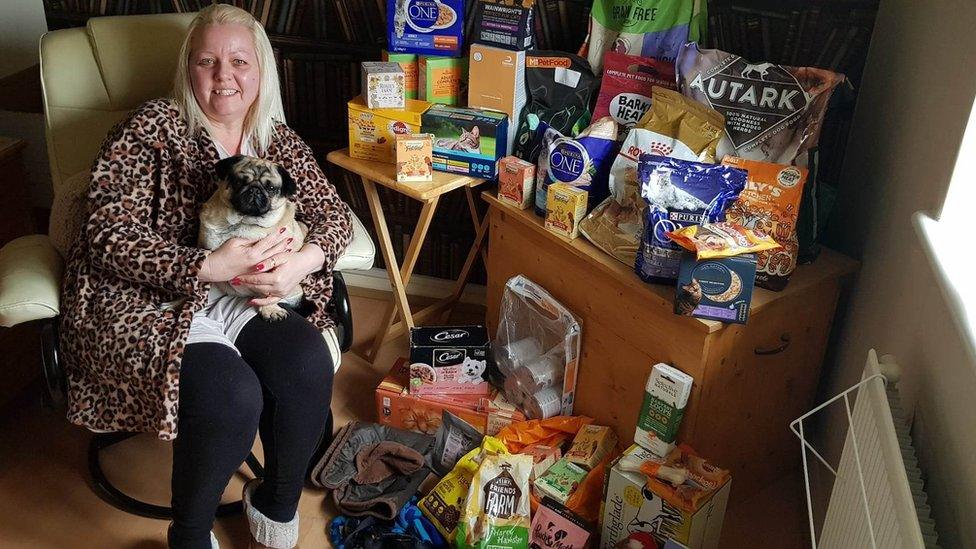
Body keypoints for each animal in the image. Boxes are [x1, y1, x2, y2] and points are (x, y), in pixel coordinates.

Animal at [197, 154, 304, 318]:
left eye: (271, 188)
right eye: (239, 181)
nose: (255, 190)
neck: (243, 222)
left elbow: (268, 293)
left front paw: (270, 309)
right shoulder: (205, 245)